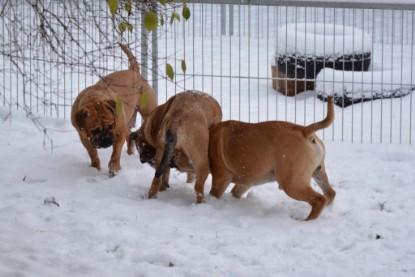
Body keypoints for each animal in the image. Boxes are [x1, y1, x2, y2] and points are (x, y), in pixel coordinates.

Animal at [70, 43, 157, 177]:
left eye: (111, 126)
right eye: (94, 130)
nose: (105, 139)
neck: (94, 99)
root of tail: (133, 70)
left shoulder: (119, 132)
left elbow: (116, 153)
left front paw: (114, 168)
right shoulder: (83, 136)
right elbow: (92, 153)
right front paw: (95, 168)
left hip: (147, 110)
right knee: (129, 134)